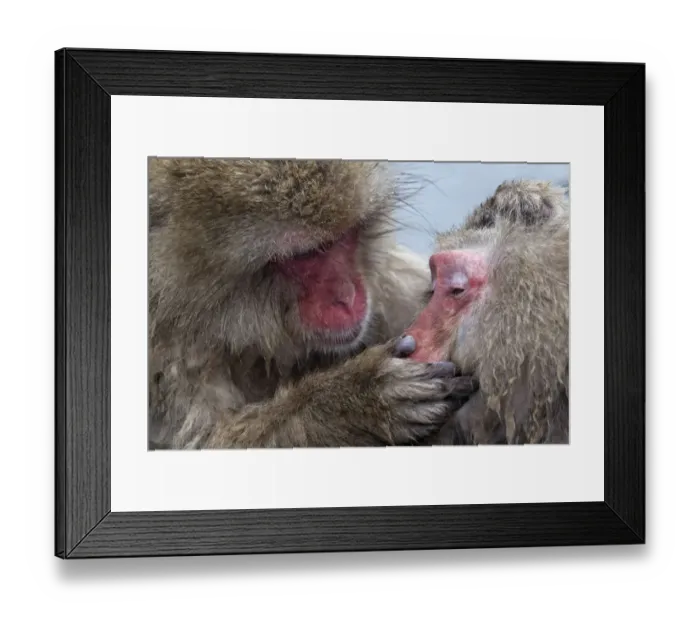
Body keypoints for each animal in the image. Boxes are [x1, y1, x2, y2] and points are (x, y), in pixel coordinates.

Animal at [147, 157, 479, 450]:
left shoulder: (390, 284)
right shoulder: (169, 350)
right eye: (308, 254)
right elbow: (207, 441)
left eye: (345, 237)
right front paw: (353, 402)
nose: (347, 297)